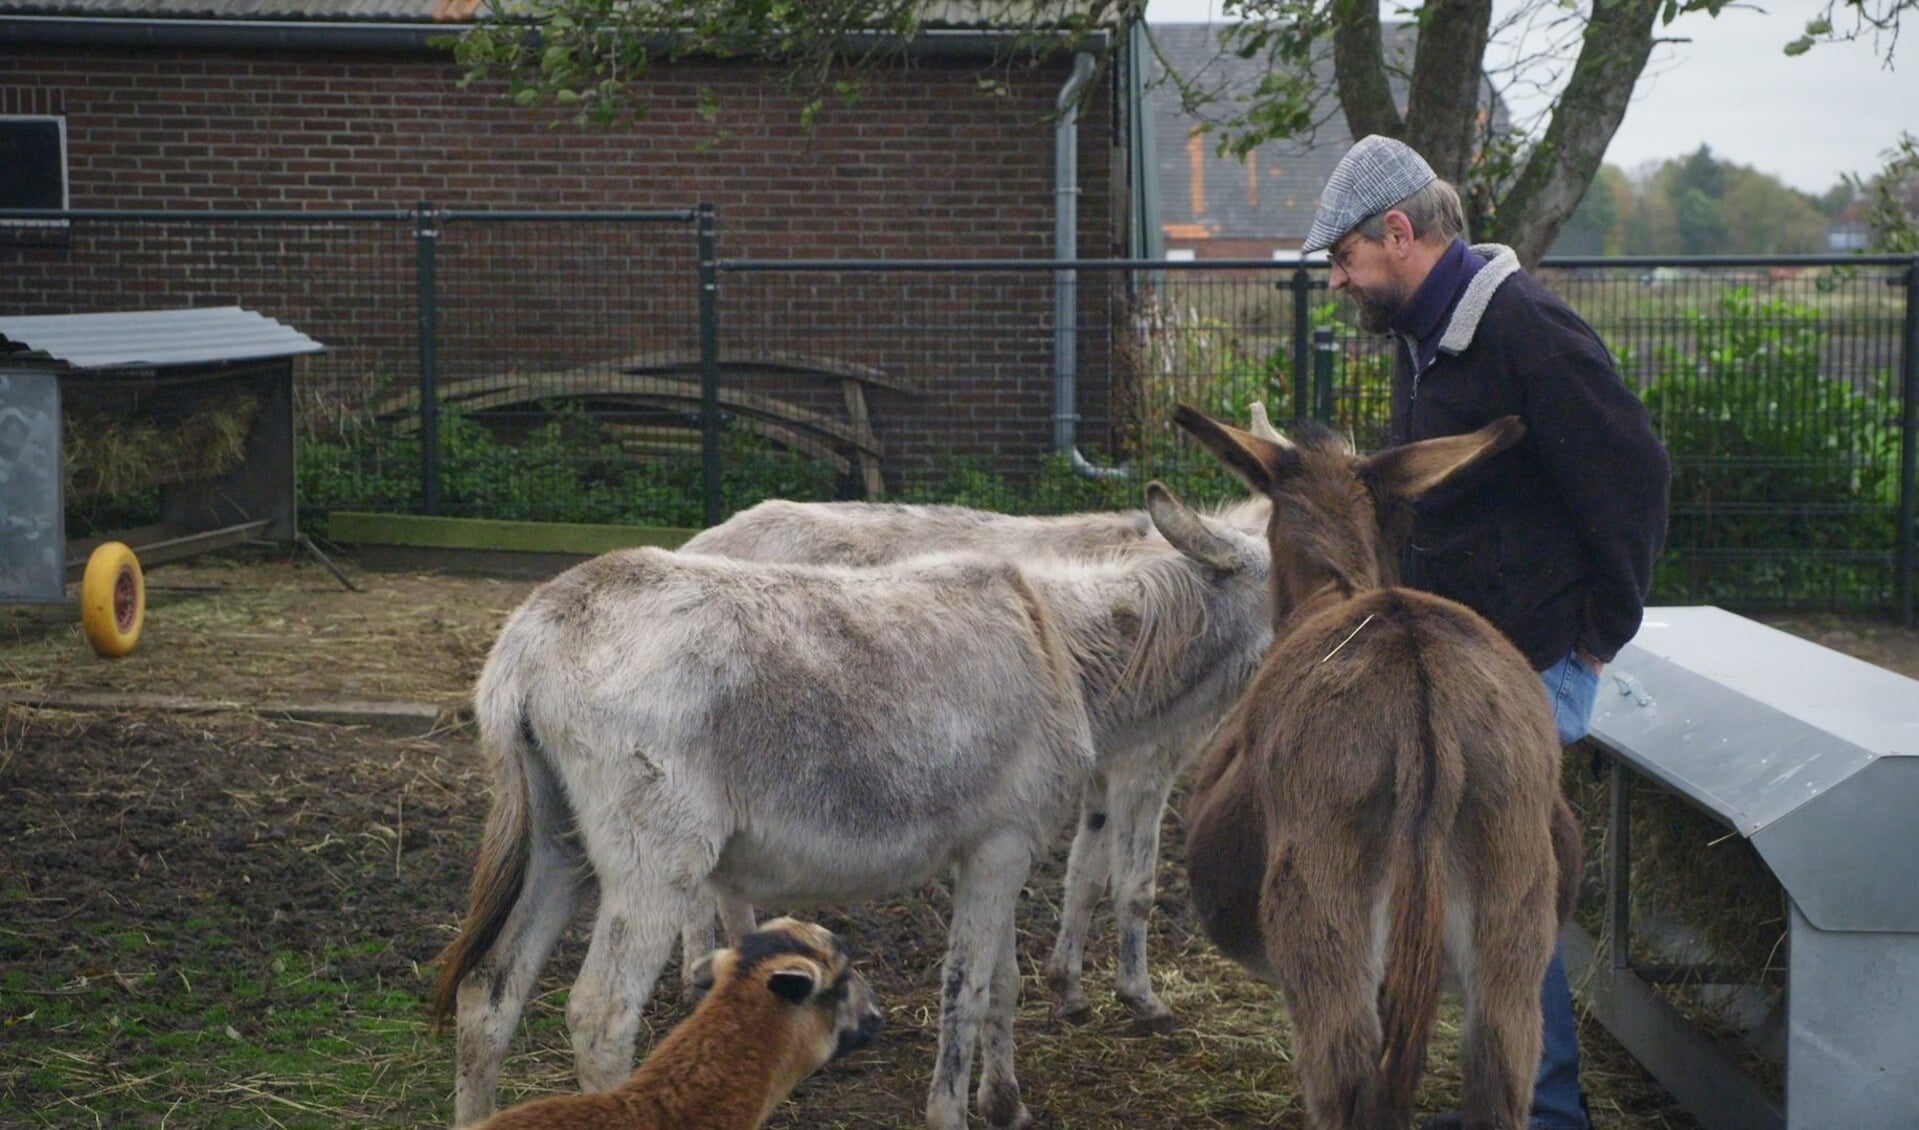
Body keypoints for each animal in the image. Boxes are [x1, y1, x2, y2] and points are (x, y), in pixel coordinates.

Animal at [1174, 406, 1581, 1128]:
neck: (1338, 585)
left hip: (1323, 917)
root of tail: (1422, 693)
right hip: (1513, 922)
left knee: (1347, 1086)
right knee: (1498, 1080)